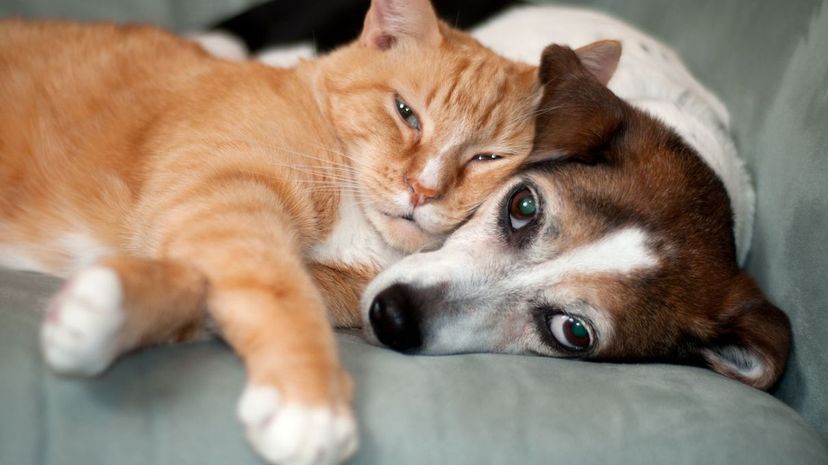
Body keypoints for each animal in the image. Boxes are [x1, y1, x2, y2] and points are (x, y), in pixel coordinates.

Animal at [0, 0, 540, 460]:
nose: (422, 189)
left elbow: (202, 290)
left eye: (486, 157)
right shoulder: (226, 197)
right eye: (405, 112)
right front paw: (310, 403)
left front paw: (101, 312)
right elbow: (279, 291)